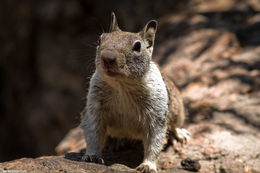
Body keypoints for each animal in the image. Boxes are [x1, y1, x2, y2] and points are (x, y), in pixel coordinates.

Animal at [80, 12, 190, 173]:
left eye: (137, 46)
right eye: (100, 39)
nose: (107, 57)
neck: (122, 86)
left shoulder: (156, 113)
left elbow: (155, 140)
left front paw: (148, 165)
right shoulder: (95, 107)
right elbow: (93, 132)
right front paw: (91, 156)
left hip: (177, 111)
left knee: (175, 125)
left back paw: (180, 134)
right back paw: (112, 143)